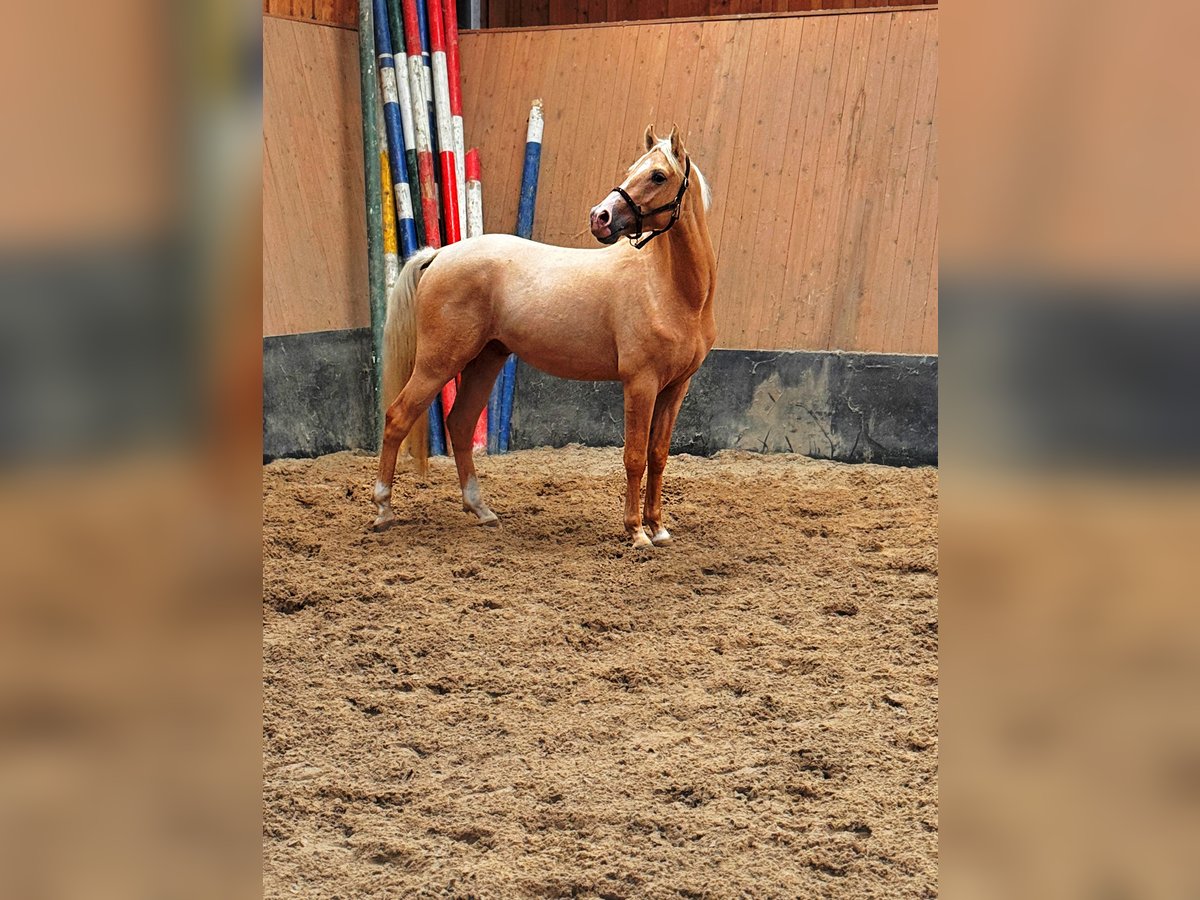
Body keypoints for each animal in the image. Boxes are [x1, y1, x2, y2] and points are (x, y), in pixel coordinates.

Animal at [372, 126, 710, 549]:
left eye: (658, 176)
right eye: (632, 169)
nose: (600, 218)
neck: (670, 289)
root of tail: (440, 255)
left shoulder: (676, 387)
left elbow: (659, 456)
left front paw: (659, 528)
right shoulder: (640, 383)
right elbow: (634, 456)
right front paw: (636, 532)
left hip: (486, 360)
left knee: (461, 424)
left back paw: (481, 511)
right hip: (438, 363)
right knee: (398, 417)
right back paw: (383, 510)